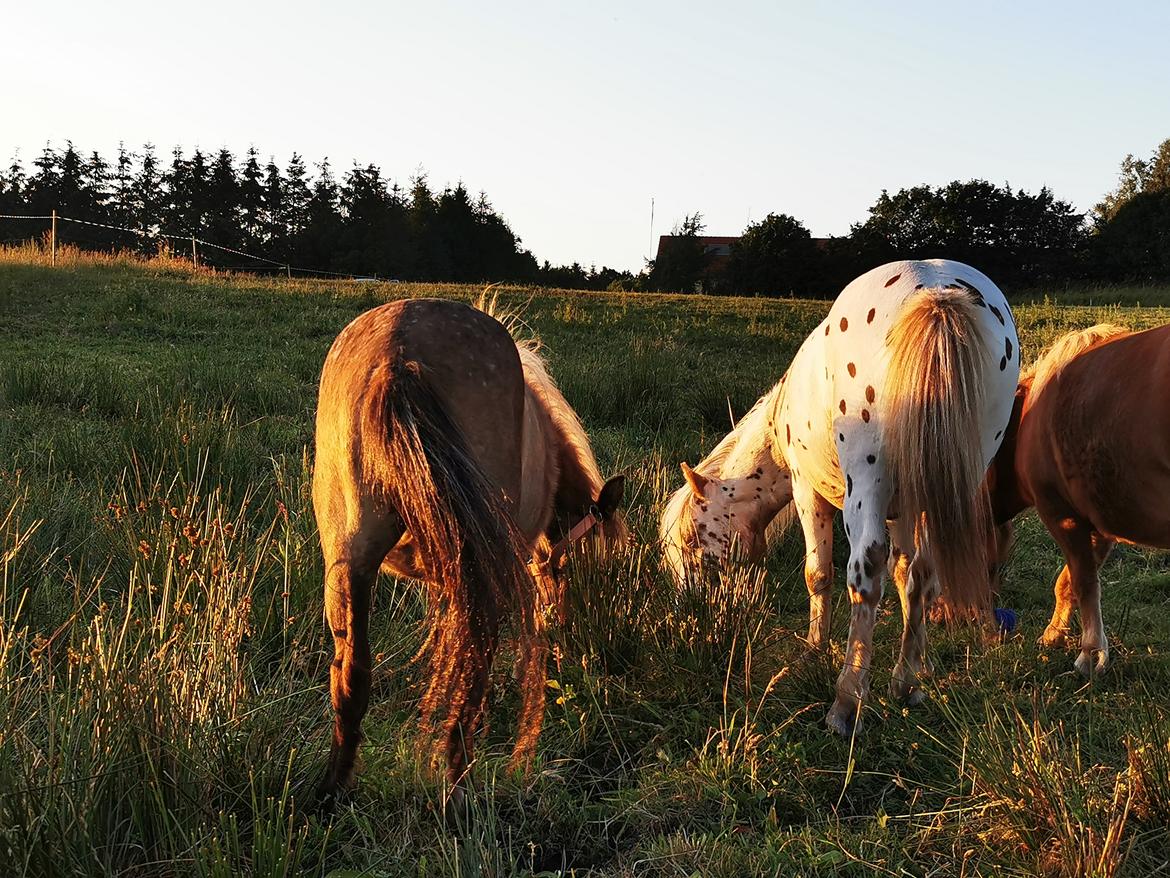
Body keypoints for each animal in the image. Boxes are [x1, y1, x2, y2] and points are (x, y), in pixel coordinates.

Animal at [311, 297, 622, 805]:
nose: (562, 620)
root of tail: (398, 353)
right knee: (474, 665)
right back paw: (459, 787)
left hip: (347, 558)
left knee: (351, 674)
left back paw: (333, 787)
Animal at [664, 259, 1020, 735]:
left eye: (692, 542)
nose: (690, 614)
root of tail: (936, 292)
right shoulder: (904, 508)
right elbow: (908, 574)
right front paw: (917, 666)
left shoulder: (806, 491)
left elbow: (819, 573)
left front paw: (813, 651)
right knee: (926, 570)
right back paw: (906, 682)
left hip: (865, 481)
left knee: (865, 571)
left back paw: (846, 703)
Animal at [987, 323, 1170, 674]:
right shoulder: (1100, 527)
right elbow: (1068, 584)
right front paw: (1053, 635)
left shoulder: (1062, 516)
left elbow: (1083, 583)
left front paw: (1090, 653)